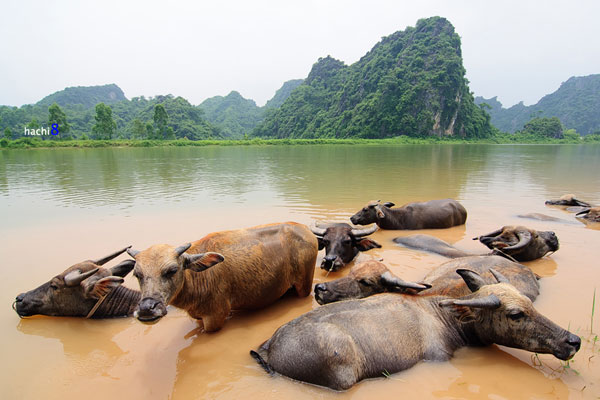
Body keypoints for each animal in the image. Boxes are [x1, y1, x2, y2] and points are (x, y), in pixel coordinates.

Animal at [127, 222, 318, 332]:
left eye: (172, 270)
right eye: (138, 274)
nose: (146, 308)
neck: (196, 278)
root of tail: (305, 229)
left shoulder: (215, 317)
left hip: (304, 286)